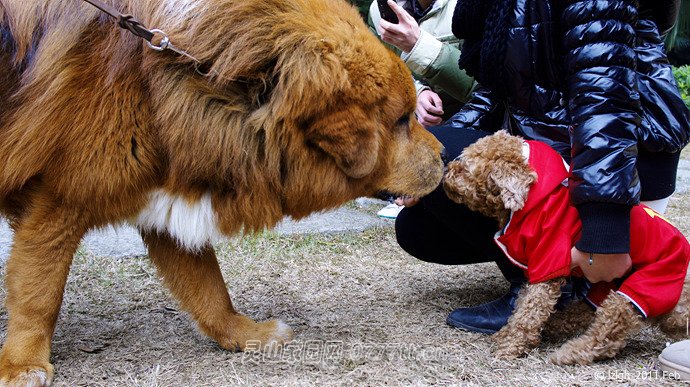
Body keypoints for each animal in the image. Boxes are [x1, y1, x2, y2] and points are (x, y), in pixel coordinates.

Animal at [0, 0, 444, 384]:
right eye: (402, 119)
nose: (444, 154)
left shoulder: (166, 199)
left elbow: (209, 289)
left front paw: (243, 333)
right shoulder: (55, 207)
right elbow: (40, 295)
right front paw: (23, 363)